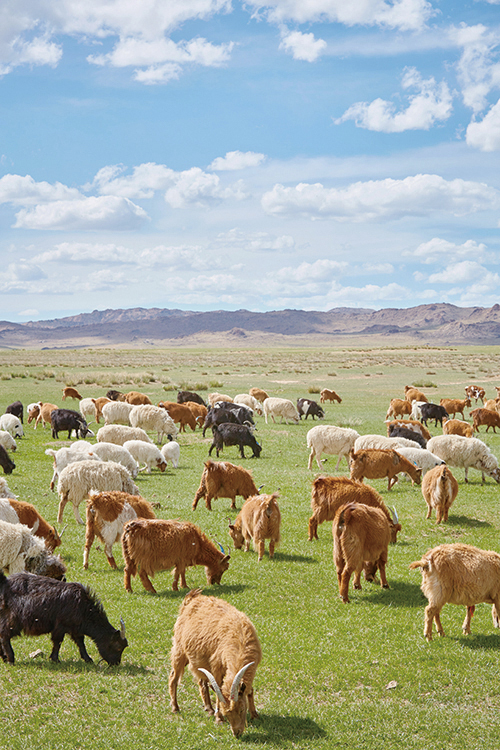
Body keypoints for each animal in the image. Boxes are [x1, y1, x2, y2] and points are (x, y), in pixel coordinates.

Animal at [169, 592, 262, 740]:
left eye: (242, 709)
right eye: (226, 714)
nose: (237, 733)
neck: (240, 639)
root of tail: (192, 598)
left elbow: (250, 690)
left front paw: (255, 714)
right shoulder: (217, 666)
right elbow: (218, 691)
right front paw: (219, 719)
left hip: (199, 660)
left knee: (201, 682)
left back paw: (209, 708)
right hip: (179, 650)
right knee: (173, 678)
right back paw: (175, 708)